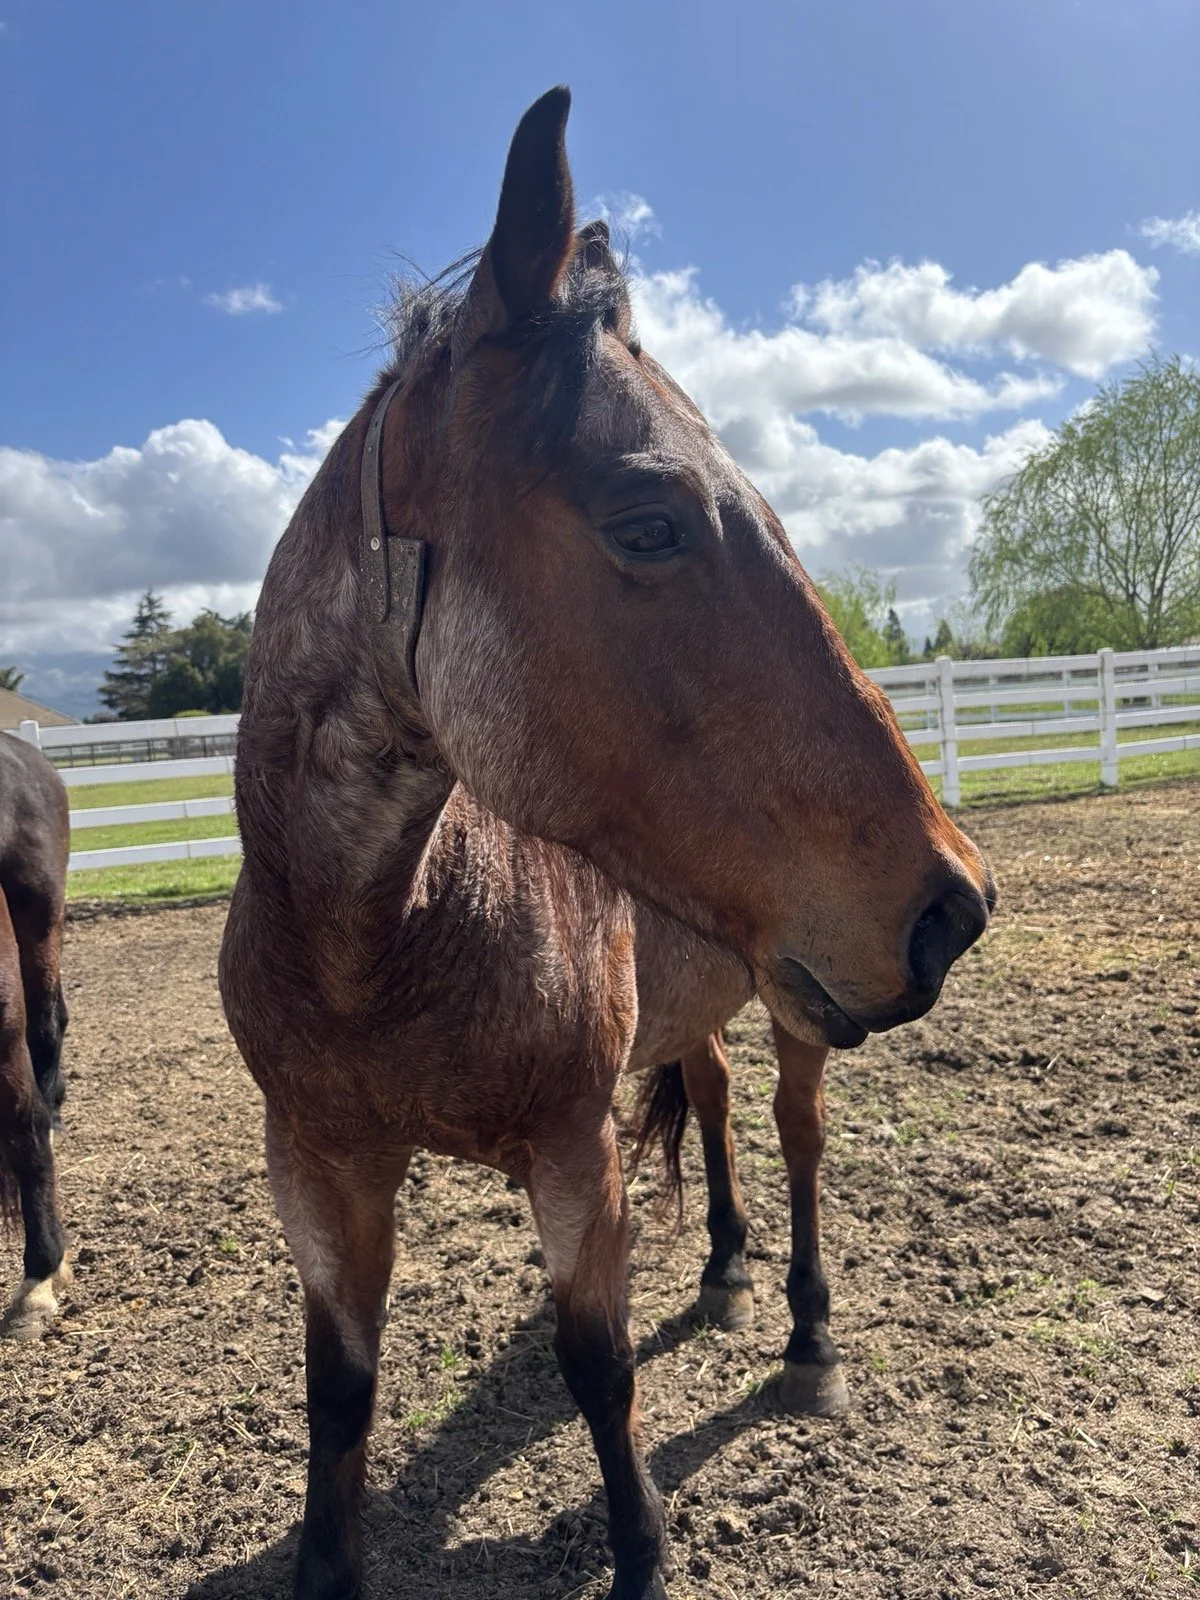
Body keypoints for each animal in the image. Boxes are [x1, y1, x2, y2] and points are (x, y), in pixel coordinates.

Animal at [219, 87, 994, 1600]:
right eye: (649, 523)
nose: (955, 901)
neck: (379, 942)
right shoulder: (319, 1167)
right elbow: (338, 1394)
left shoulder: (573, 1151)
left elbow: (599, 1366)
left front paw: (640, 1553)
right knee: (716, 1100)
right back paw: (728, 1266)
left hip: (801, 1009)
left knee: (798, 1136)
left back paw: (805, 1334)